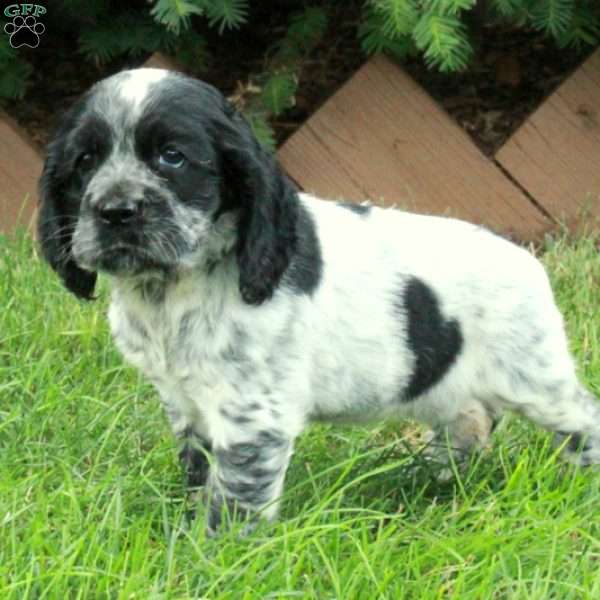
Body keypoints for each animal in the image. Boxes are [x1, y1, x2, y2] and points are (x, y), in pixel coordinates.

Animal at [39, 67, 600, 536]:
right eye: (85, 161)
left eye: (171, 156)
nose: (115, 211)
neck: (175, 287)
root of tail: (525, 257)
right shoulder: (184, 402)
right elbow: (200, 474)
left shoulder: (252, 415)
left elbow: (235, 498)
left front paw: (212, 556)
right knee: (469, 424)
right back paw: (427, 481)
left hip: (535, 378)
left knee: (582, 419)